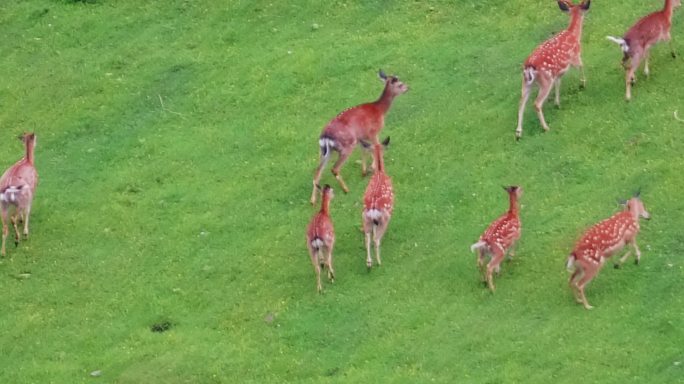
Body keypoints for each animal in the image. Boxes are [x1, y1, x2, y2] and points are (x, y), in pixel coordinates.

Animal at [312, 70, 408, 206]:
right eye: (400, 84)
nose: (407, 88)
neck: (380, 110)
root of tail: (325, 136)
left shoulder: (361, 137)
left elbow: (365, 150)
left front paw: (365, 171)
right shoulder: (373, 132)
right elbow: (376, 147)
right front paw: (375, 167)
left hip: (324, 151)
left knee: (317, 171)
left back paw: (313, 200)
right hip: (347, 145)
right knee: (334, 168)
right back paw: (345, 189)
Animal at [516, 0, 592, 141]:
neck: (574, 35)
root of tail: (529, 66)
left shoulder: (558, 72)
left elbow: (558, 83)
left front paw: (557, 103)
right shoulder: (575, 56)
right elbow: (581, 66)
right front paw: (582, 83)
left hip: (526, 82)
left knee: (521, 102)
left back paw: (518, 133)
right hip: (546, 80)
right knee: (536, 103)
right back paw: (545, 128)